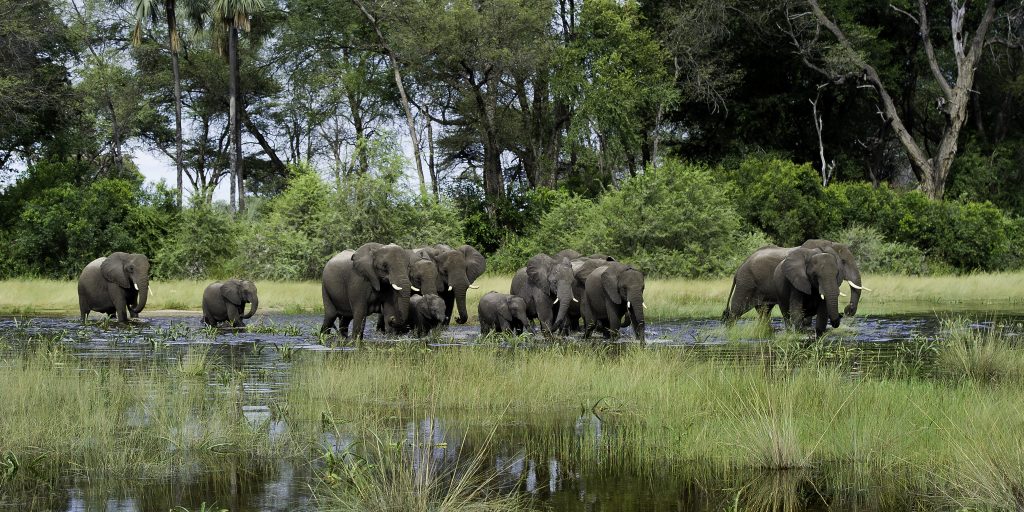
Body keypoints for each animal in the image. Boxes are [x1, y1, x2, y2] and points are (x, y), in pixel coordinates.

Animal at [723, 240, 868, 323]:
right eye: (843, 262)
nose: (847, 310)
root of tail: (739, 268)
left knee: (764, 312)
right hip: (746, 283)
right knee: (735, 312)